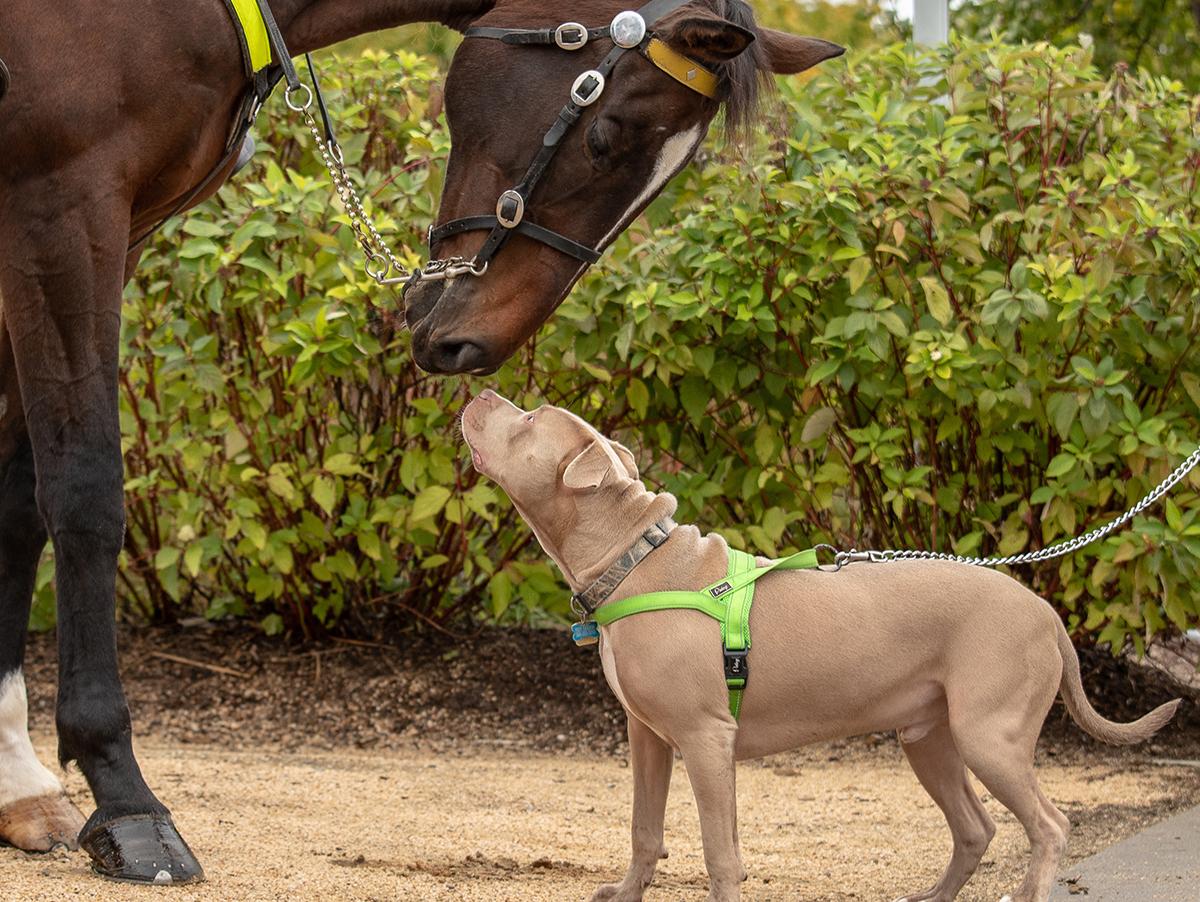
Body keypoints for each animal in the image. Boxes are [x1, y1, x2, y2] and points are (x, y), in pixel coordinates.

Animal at [0, 0, 844, 887]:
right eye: (605, 134)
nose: (471, 346)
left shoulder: (104, 232)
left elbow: (16, 503)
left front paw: (21, 784)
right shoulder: (63, 206)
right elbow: (82, 490)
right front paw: (123, 798)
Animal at [458, 391, 1180, 902]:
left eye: (529, 420)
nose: (480, 391)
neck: (633, 557)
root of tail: (1043, 610)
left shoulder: (705, 737)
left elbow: (719, 849)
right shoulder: (650, 737)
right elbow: (645, 829)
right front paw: (626, 892)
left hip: (989, 734)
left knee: (1050, 825)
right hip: (930, 736)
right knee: (976, 827)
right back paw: (931, 897)